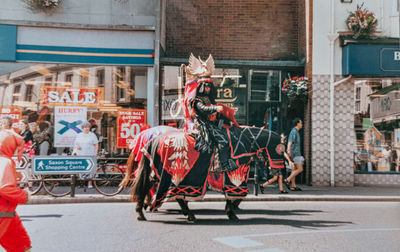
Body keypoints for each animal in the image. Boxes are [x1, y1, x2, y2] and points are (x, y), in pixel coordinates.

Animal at [131, 125, 284, 221]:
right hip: (172, 175)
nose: (277, 172)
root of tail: (153, 140)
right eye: (281, 151)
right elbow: (238, 195)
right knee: (168, 192)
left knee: (147, 187)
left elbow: (234, 196)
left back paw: (142, 211)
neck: (245, 141)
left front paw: (231, 210)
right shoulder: (235, 176)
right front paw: (232, 211)